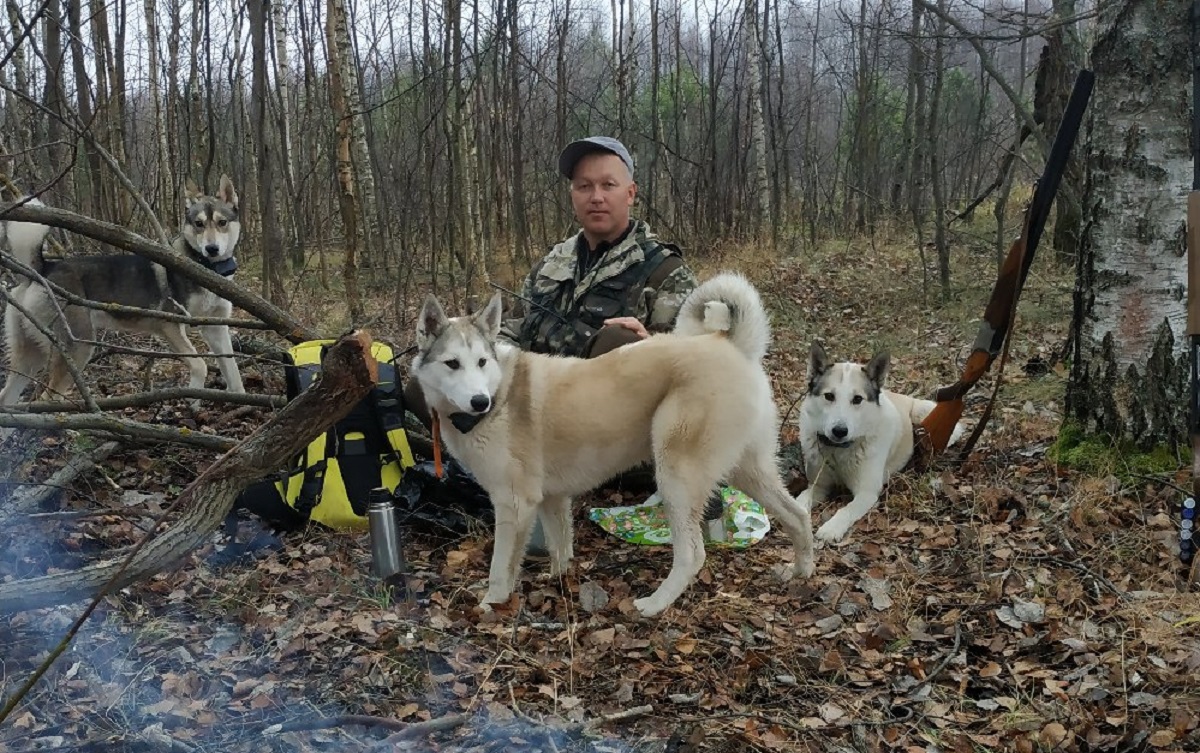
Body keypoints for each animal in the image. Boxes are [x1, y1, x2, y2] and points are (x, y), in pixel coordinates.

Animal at [412, 273, 816, 613]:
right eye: (452, 363)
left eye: (481, 361)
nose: (479, 401)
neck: (502, 393)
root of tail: (729, 344)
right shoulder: (552, 500)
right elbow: (561, 548)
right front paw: (559, 582)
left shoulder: (514, 503)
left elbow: (500, 569)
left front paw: (489, 606)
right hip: (748, 472)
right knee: (798, 515)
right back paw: (801, 573)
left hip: (675, 477)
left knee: (692, 554)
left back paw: (654, 604)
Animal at [796, 345, 964, 544]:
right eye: (829, 396)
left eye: (857, 399)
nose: (839, 431)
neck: (838, 452)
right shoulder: (818, 486)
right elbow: (799, 501)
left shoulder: (867, 492)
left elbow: (846, 510)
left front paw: (831, 528)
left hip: (921, 414)